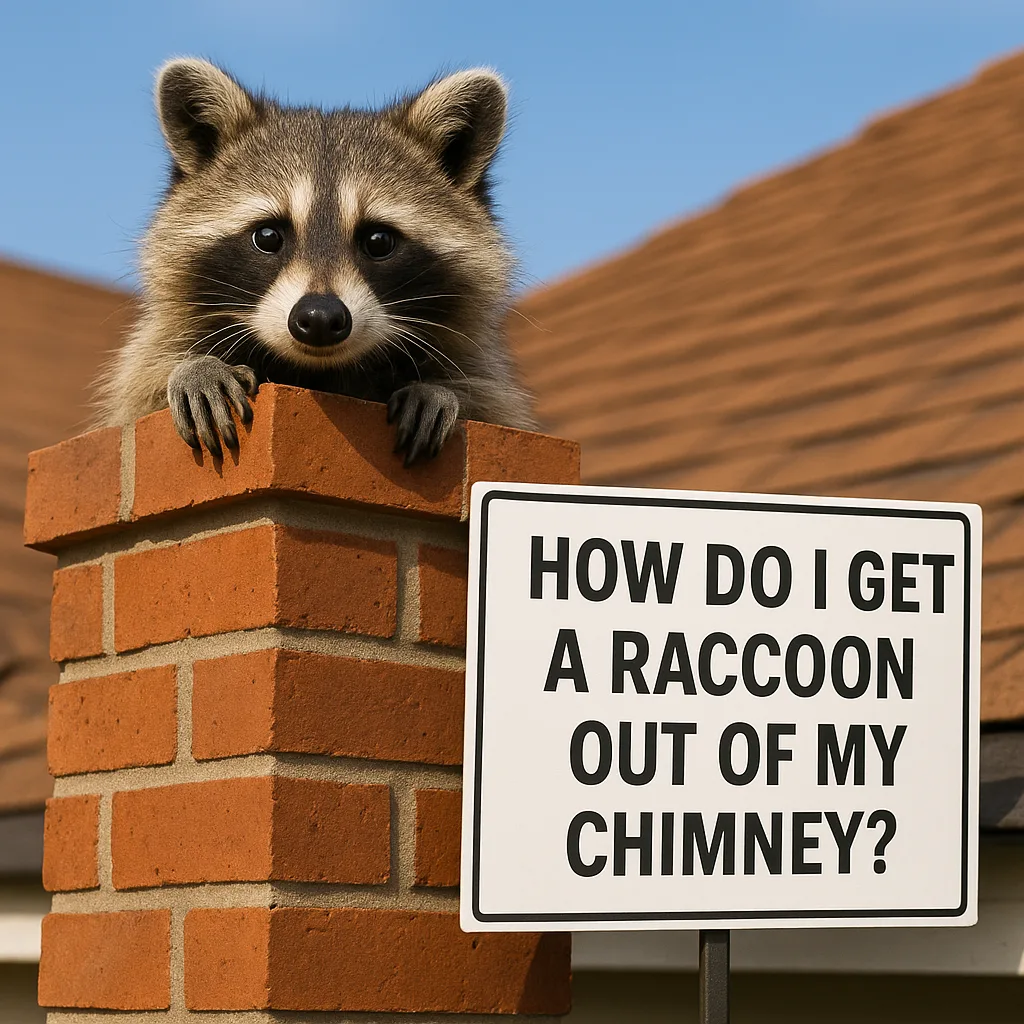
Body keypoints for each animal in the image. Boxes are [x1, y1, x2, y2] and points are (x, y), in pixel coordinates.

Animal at [95, 58, 536, 463]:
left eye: (378, 240)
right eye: (268, 236)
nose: (320, 317)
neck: (321, 374)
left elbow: (490, 402)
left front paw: (438, 391)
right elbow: (140, 390)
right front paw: (195, 368)